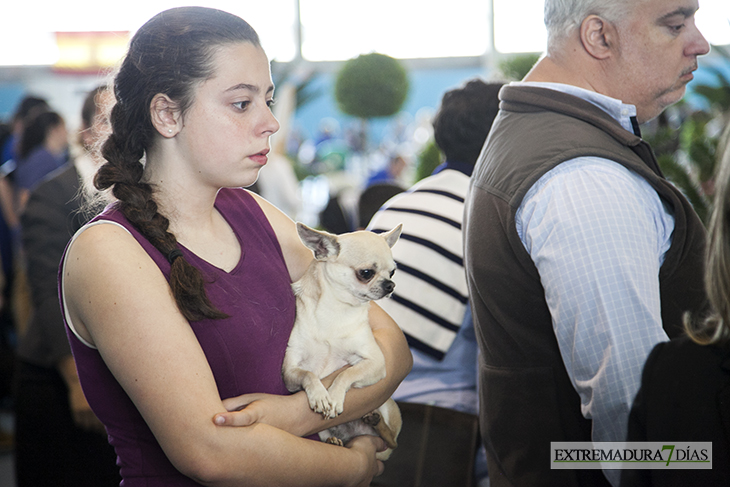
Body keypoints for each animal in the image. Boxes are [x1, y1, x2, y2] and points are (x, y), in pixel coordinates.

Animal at [280, 223, 404, 460]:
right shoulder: (290, 370)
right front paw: (320, 395)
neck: (337, 309)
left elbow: (347, 373)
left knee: (391, 439)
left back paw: (376, 422)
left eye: (393, 272)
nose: (391, 284)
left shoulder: (375, 362)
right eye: (366, 273)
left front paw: (335, 396)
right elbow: (308, 374)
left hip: (387, 405)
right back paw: (334, 441)